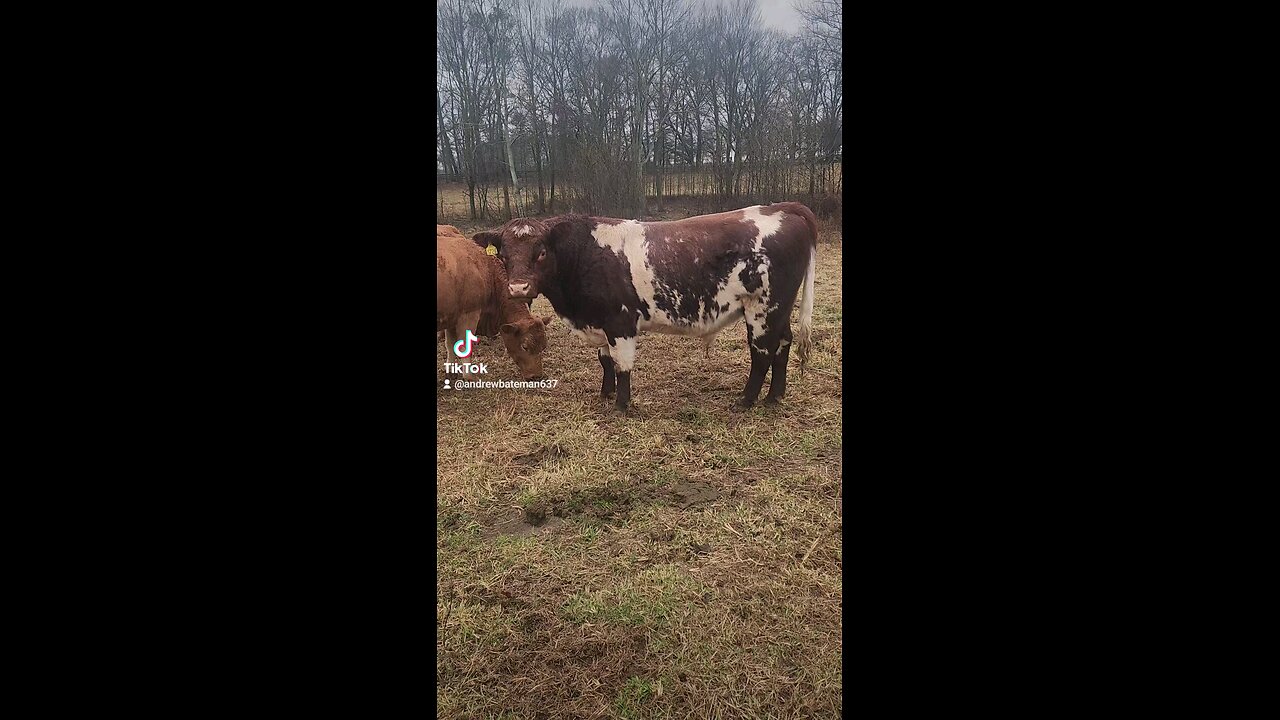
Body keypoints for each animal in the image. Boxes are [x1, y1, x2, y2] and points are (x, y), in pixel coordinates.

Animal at [435, 224, 550, 381]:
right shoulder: (469, 315)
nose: (536, 376)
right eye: (524, 346)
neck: (483, 268)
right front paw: (469, 376)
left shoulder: (452, 318)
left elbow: (450, 344)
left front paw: (451, 372)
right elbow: (464, 345)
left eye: (543, 346)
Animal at [476, 204, 814, 412]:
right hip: (779, 310)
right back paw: (774, 396)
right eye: (503, 254)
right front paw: (606, 393)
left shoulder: (620, 321)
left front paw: (621, 405)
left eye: (542, 252)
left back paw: (745, 400)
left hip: (762, 309)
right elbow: (605, 361)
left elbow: (622, 364)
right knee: (783, 345)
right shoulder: (601, 322)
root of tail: (782, 207)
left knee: (762, 353)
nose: (518, 289)